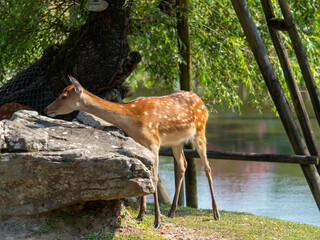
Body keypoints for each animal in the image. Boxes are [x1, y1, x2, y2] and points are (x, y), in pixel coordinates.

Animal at [44, 76, 220, 228]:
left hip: (200, 131)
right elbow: (145, 177)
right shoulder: (141, 143)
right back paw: (171, 212)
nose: (47, 108)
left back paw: (216, 213)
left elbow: (153, 178)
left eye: (64, 96)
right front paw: (141, 215)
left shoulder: (154, 143)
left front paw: (157, 221)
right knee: (183, 164)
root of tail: (201, 101)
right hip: (176, 141)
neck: (133, 120)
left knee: (207, 167)